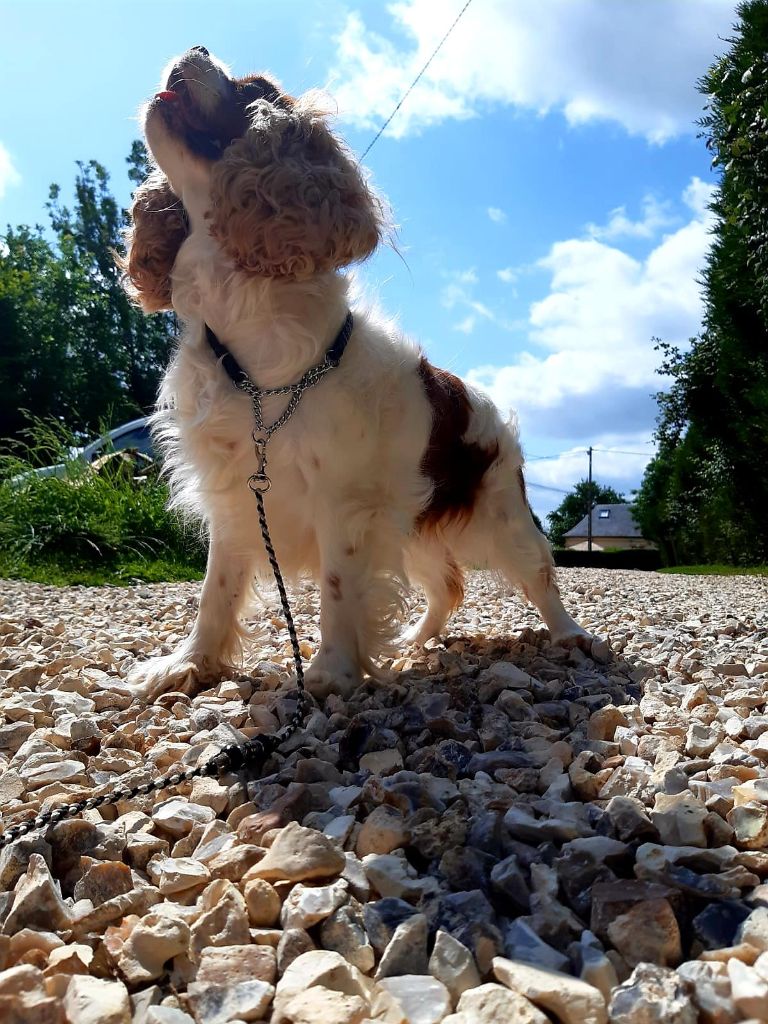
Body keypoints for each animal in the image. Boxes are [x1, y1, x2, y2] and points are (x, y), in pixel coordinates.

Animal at [123, 48, 589, 704]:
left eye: (256, 88)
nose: (198, 47)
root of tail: (490, 406)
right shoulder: (236, 497)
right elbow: (216, 591)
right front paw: (189, 663)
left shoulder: (343, 502)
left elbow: (339, 591)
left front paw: (332, 673)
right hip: (417, 529)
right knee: (447, 585)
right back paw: (415, 642)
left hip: (499, 515)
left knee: (539, 574)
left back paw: (571, 636)